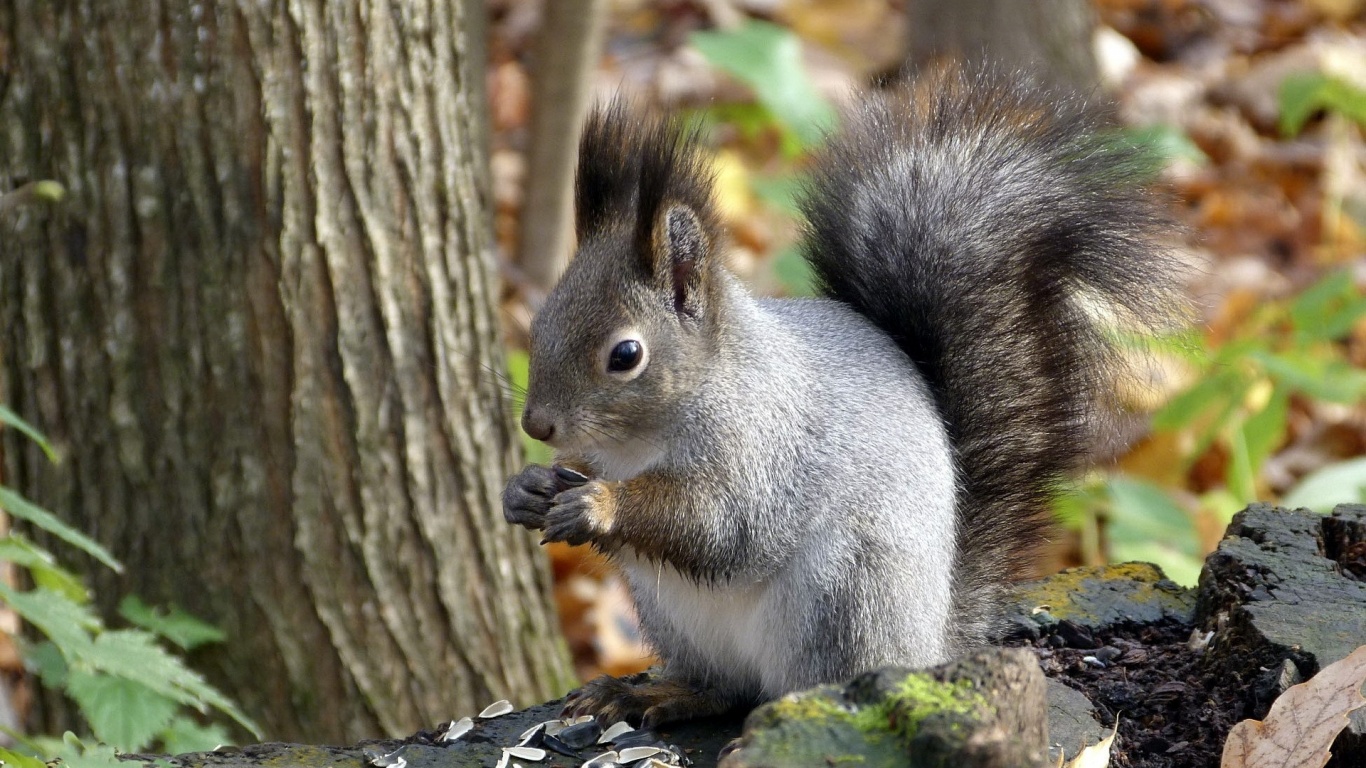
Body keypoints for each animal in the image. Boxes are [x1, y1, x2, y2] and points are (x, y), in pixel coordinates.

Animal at [502, 64, 1185, 721]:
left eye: (626, 355)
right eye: (540, 321)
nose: (537, 426)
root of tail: (928, 643)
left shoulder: (763, 447)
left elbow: (720, 523)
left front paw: (600, 505)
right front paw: (528, 488)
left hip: (842, 596)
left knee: (798, 688)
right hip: (676, 616)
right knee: (726, 689)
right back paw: (657, 695)